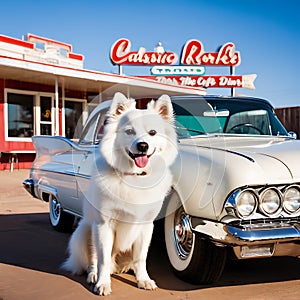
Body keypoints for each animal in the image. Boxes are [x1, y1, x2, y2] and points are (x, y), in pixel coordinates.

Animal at [62, 92, 177, 294]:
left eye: (152, 132)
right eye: (129, 132)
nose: (143, 146)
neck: (133, 177)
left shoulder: (146, 226)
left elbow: (141, 258)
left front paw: (143, 280)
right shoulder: (104, 225)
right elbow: (103, 259)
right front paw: (102, 283)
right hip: (84, 231)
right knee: (93, 261)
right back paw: (93, 276)